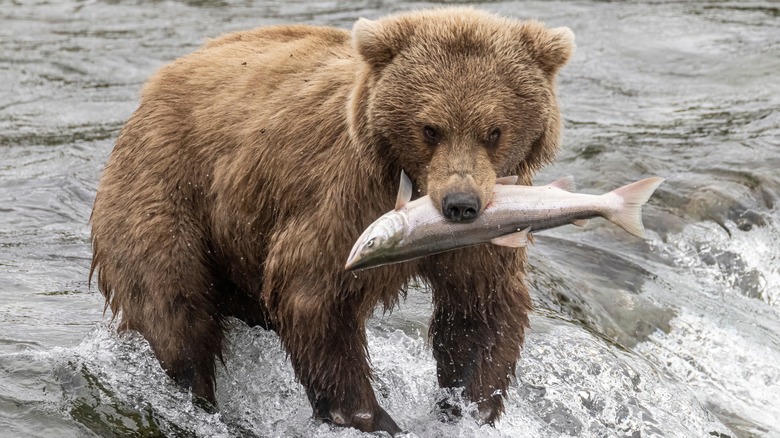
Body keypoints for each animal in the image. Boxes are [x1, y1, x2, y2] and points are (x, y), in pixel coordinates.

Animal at [90, 6, 572, 434]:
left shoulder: (494, 220)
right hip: (168, 190)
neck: (411, 183)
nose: (460, 204)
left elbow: (479, 307)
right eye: (430, 128)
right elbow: (314, 294)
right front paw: (370, 416)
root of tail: (157, 83)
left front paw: (467, 407)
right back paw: (198, 398)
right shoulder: (345, 197)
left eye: (494, 131)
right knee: (174, 305)